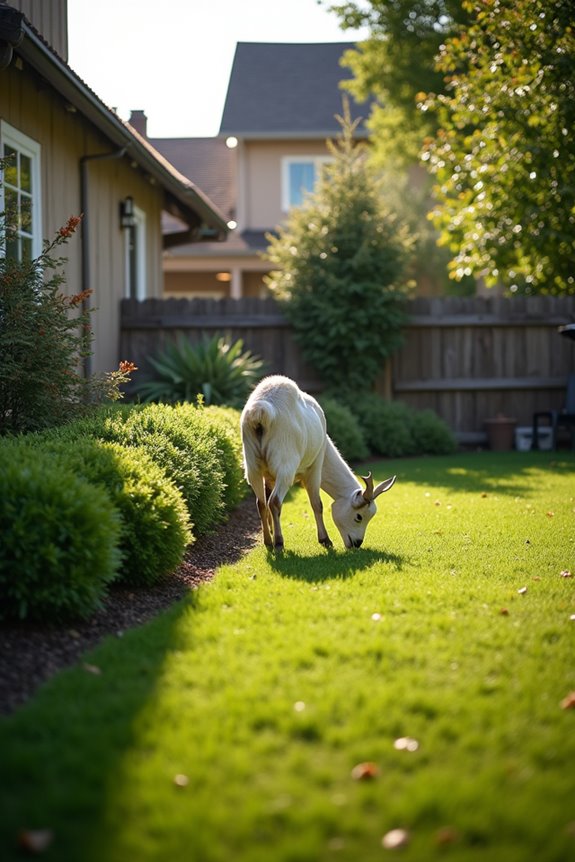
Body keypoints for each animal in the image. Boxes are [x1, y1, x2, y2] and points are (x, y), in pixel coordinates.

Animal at [241, 375, 396, 549]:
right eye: (359, 517)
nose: (357, 543)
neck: (325, 444)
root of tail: (262, 411)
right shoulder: (315, 466)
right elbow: (317, 504)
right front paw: (325, 540)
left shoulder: (268, 477)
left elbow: (265, 501)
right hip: (285, 466)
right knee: (274, 501)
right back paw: (279, 543)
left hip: (252, 466)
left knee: (261, 502)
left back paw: (268, 542)